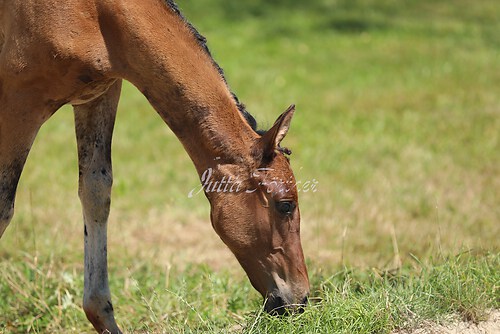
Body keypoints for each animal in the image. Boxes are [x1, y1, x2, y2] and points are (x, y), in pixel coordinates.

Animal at [0, 0, 308, 332]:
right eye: (285, 205)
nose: (301, 301)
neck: (96, 14)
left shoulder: (100, 93)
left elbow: (96, 193)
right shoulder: (19, 99)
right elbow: (4, 207)